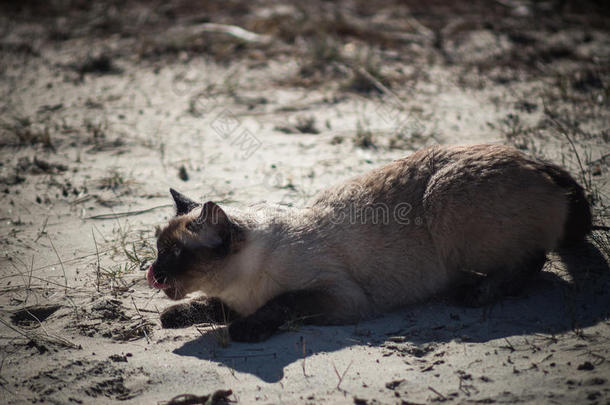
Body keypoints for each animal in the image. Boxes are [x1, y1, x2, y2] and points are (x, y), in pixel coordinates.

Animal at [147, 144, 588, 340]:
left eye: (174, 255)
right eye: (157, 251)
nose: (152, 274)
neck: (241, 286)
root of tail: (535, 159)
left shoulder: (339, 297)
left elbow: (281, 304)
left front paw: (244, 332)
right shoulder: (233, 300)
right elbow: (209, 306)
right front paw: (174, 317)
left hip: (446, 205)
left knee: (534, 260)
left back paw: (476, 293)